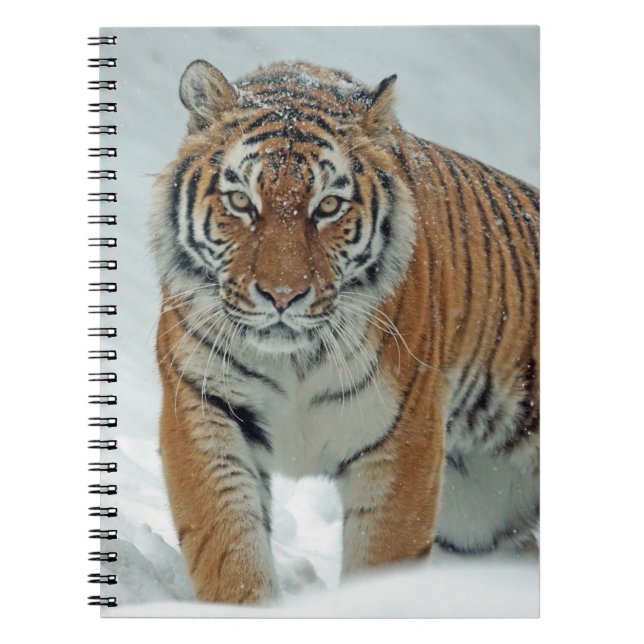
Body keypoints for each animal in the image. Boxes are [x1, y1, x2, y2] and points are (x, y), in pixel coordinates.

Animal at [150, 59, 539, 604]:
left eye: (329, 206)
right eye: (241, 202)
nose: (283, 295)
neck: (294, 360)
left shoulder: (404, 438)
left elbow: (383, 561)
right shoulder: (204, 408)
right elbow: (231, 552)